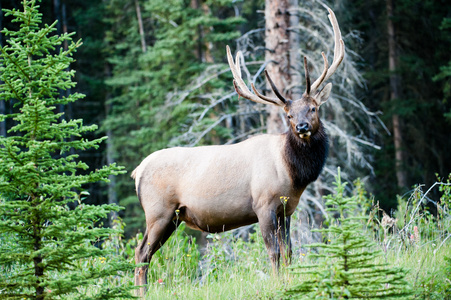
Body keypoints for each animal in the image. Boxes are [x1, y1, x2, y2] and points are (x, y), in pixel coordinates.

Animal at [132, 6, 344, 296]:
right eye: (288, 115)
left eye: (313, 108)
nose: (301, 127)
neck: (293, 174)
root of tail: (137, 171)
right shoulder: (264, 204)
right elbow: (273, 252)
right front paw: (278, 284)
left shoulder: (286, 209)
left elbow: (289, 251)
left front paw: (290, 282)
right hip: (158, 211)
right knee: (141, 253)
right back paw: (141, 293)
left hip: (173, 217)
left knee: (144, 253)